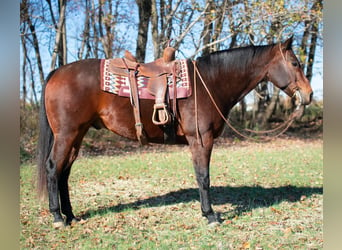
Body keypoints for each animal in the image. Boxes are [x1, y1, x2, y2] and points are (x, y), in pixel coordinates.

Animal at [36, 37, 312, 229]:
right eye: (295, 63)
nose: (308, 95)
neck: (209, 83)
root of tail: (56, 72)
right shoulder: (201, 140)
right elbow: (203, 177)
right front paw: (210, 215)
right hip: (67, 134)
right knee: (53, 167)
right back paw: (58, 217)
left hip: (77, 135)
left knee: (64, 172)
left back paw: (71, 216)